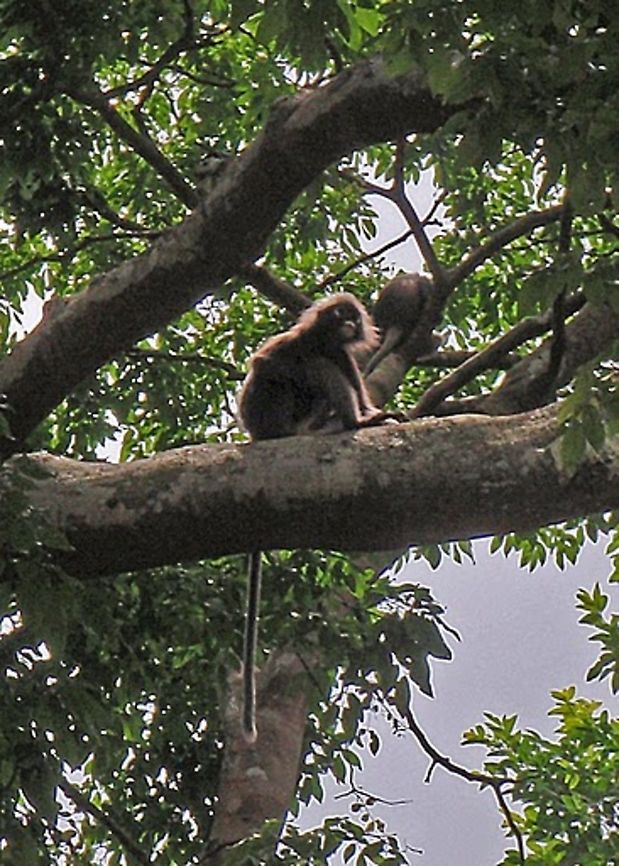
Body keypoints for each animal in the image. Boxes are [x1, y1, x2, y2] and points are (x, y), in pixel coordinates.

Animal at [236, 293, 398, 741]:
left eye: (352, 318)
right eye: (340, 315)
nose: (348, 324)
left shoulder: (343, 353)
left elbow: (347, 376)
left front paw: (369, 412)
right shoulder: (297, 342)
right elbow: (267, 363)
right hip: (271, 415)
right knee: (300, 373)